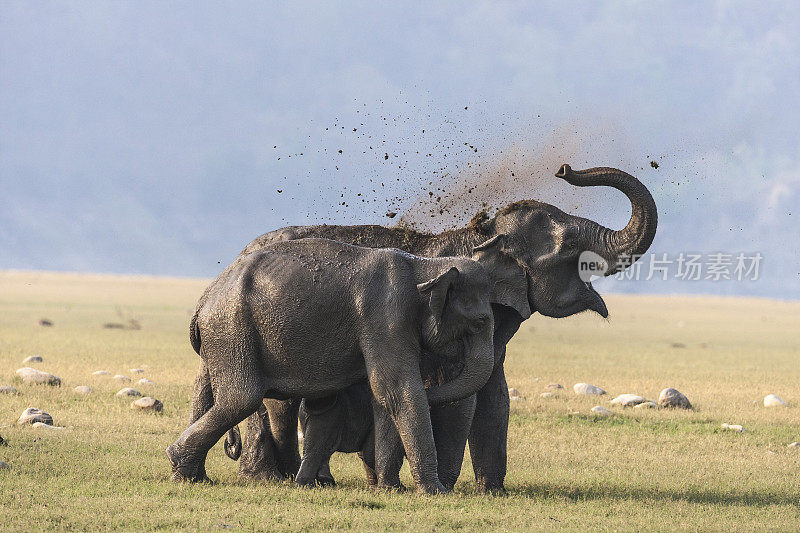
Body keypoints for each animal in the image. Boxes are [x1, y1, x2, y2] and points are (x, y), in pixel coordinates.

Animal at [170, 235, 500, 492]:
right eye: (479, 322)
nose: (442, 488)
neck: (425, 266)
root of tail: (205, 297)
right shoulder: (385, 318)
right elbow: (396, 389)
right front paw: (433, 491)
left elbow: (382, 397)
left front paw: (391, 489)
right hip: (231, 328)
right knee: (241, 398)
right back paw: (179, 461)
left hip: (222, 335)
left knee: (210, 394)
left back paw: (190, 476)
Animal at [219, 162, 656, 490]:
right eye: (568, 246)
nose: (563, 169)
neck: (481, 234)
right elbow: (460, 395)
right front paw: (445, 486)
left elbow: (495, 395)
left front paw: (491, 492)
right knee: (273, 399)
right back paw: (268, 479)